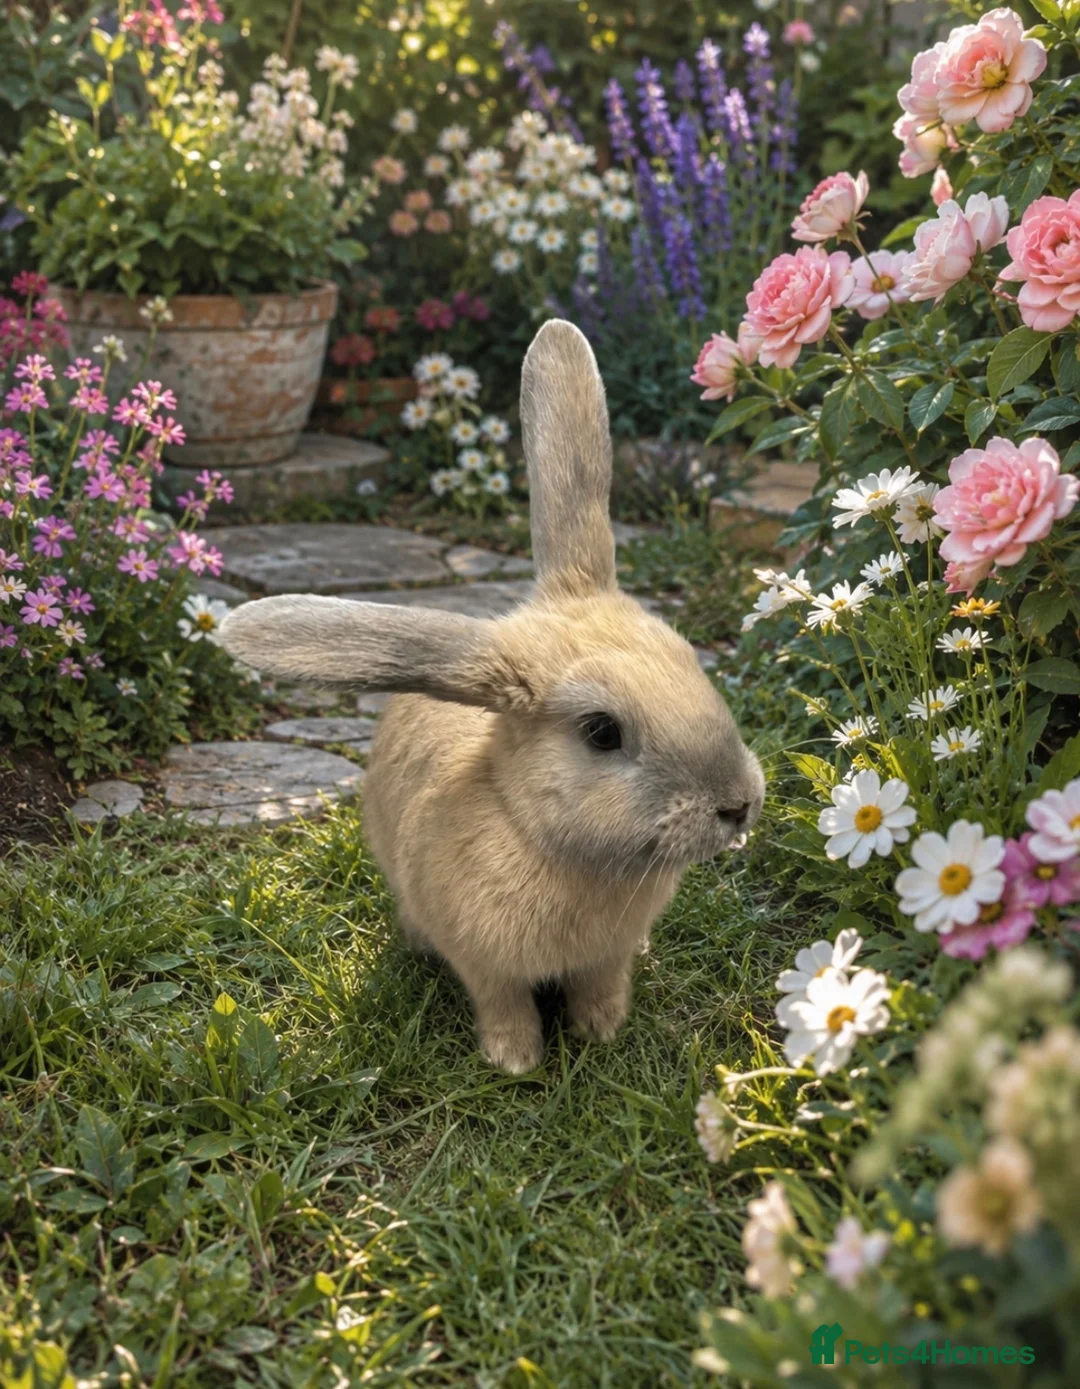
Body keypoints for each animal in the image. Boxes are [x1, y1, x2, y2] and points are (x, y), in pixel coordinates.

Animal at [218, 320, 765, 1074]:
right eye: (602, 731)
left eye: (691, 662)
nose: (738, 805)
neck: (554, 845)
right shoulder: (486, 967)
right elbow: (502, 1003)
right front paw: (515, 1059)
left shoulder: (606, 959)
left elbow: (602, 984)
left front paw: (601, 1031)